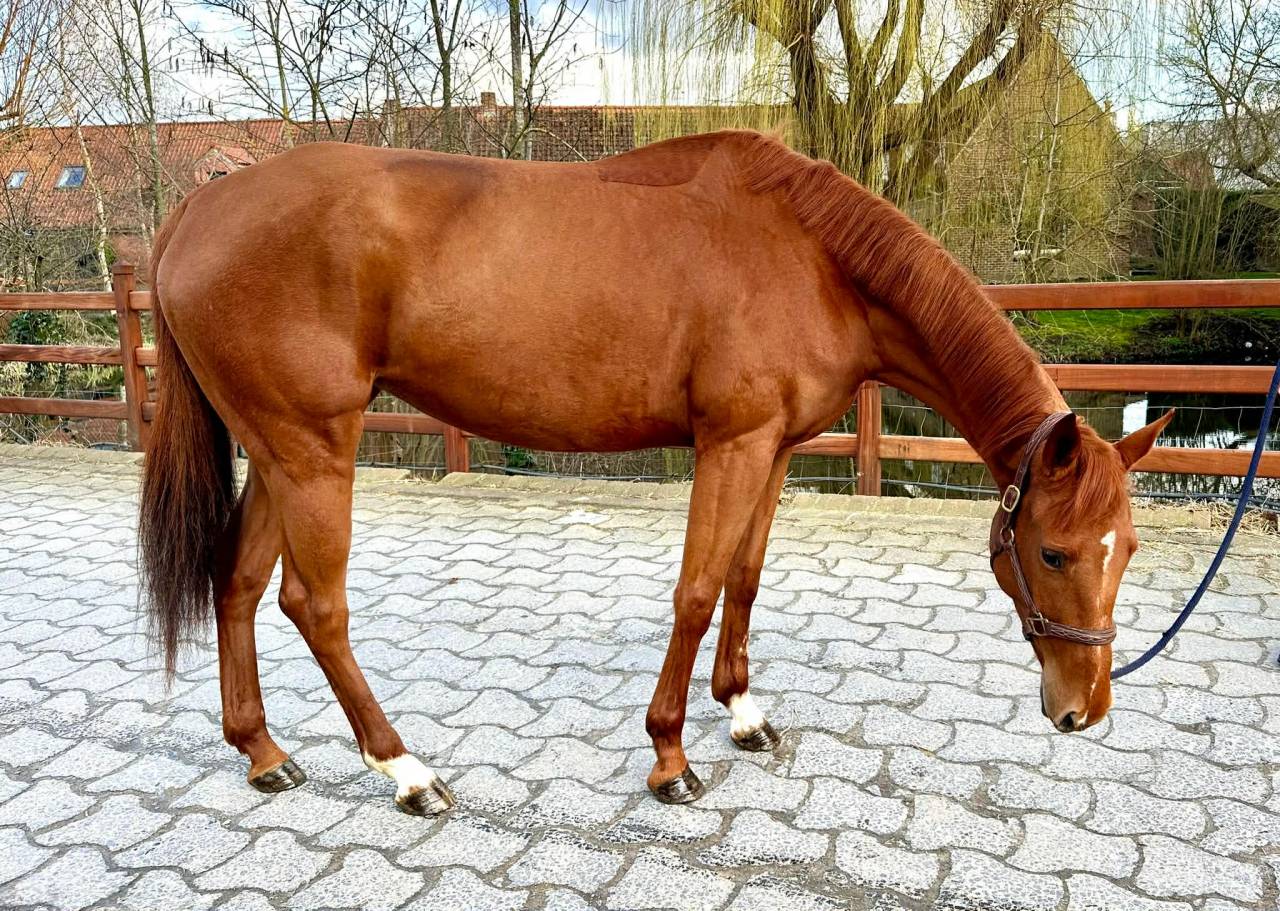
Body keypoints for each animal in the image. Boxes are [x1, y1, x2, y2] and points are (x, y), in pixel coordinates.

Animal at [139, 129, 1171, 815]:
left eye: (1126, 549)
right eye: (1050, 552)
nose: (1084, 710)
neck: (810, 258)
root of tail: (197, 209)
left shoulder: (774, 448)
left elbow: (744, 578)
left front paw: (744, 715)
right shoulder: (732, 444)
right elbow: (697, 589)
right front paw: (671, 756)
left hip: (277, 449)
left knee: (238, 582)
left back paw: (263, 752)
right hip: (312, 448)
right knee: (314, 606)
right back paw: (407, 771)